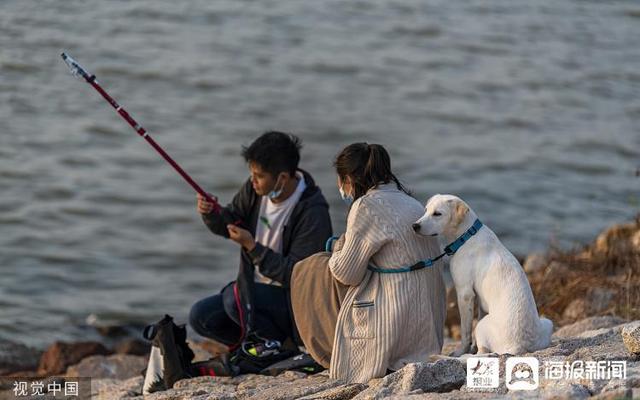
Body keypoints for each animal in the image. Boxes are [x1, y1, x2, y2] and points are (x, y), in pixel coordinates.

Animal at [412, 195, 552, 354]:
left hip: (482, 326)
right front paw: (471, 348)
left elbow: (466, 331)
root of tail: (518, 347)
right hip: (547, 322)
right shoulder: (481, 301)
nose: (415, 226)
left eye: (437, 214)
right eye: (426, 210)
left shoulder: (465, 294)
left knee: (482, 350)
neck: (466, 236)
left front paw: (461, 351)